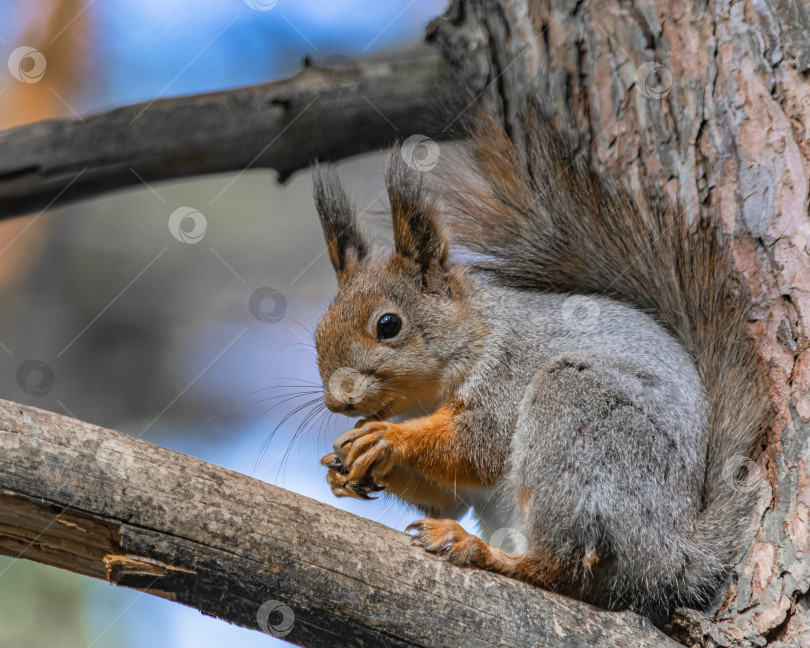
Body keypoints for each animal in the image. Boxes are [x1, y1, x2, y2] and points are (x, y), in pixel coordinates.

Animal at [310, 100, 772, 624]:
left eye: (388, 325)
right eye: (318, 332)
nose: (337, 402)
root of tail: (672, 556)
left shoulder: (509, 373)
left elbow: (479, 444)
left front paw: (386, 438)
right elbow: (448, 493)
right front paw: (339, 465)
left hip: (576, 423)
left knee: (565, 569)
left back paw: (480, 551)